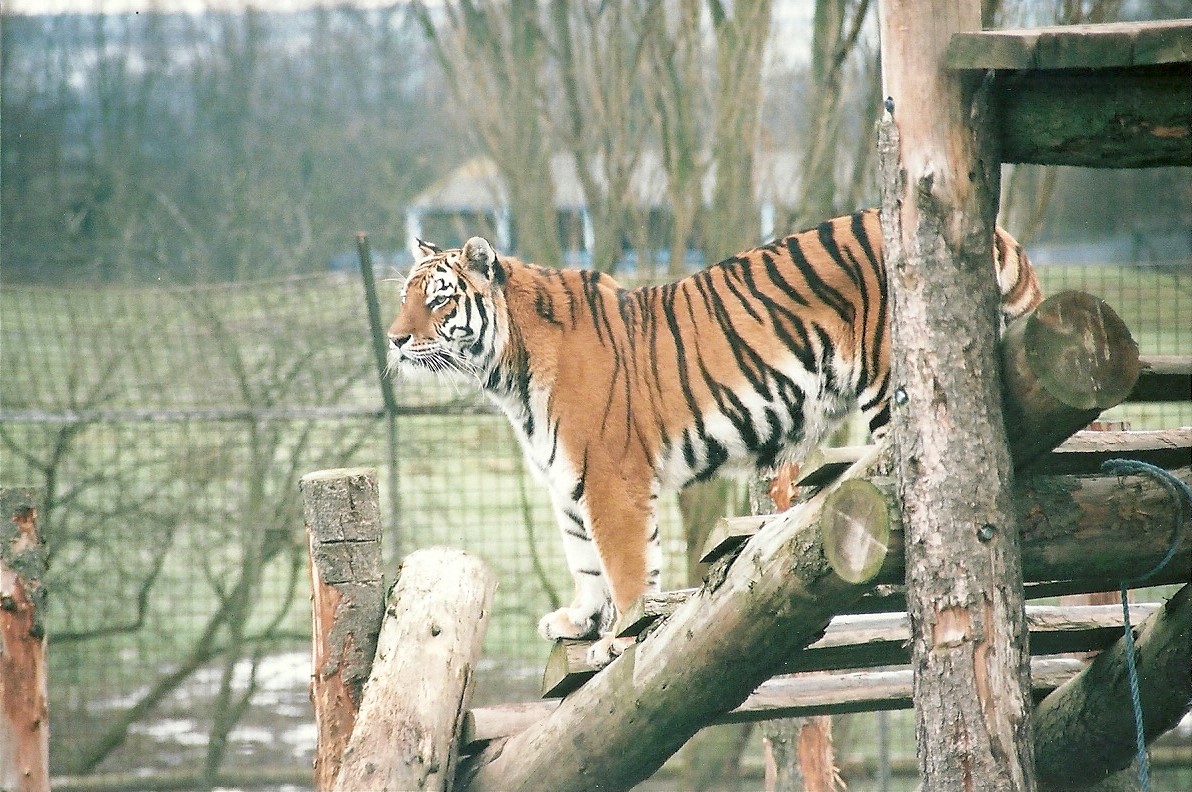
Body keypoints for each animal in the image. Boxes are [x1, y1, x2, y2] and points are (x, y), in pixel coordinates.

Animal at [387, 208, 1042, 665]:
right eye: (404, 298)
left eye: (438, 300)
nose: (393, 339)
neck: (507, 374)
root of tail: (995, 232)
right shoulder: (567, 482)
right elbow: (583, 560)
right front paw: (579, 620)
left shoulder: (610, 480)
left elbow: (624, 566)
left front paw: (618, 639)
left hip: (892, 391)